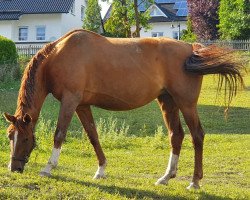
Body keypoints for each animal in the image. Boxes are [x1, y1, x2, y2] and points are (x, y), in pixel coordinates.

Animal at [3, 29, 244, 189]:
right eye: (9, 136)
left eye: (26, 138)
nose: (14, 168)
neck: (58, 55)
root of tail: (190, 48)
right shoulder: (82, 105)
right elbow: (93, 136)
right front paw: (101, 170)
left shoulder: (70, 101)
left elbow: (59, 134)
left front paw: (48, 168)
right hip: (167, 101)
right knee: (176, 136)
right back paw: (166, 177)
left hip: (186, 104)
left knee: (197, 136)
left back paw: (194, 181)